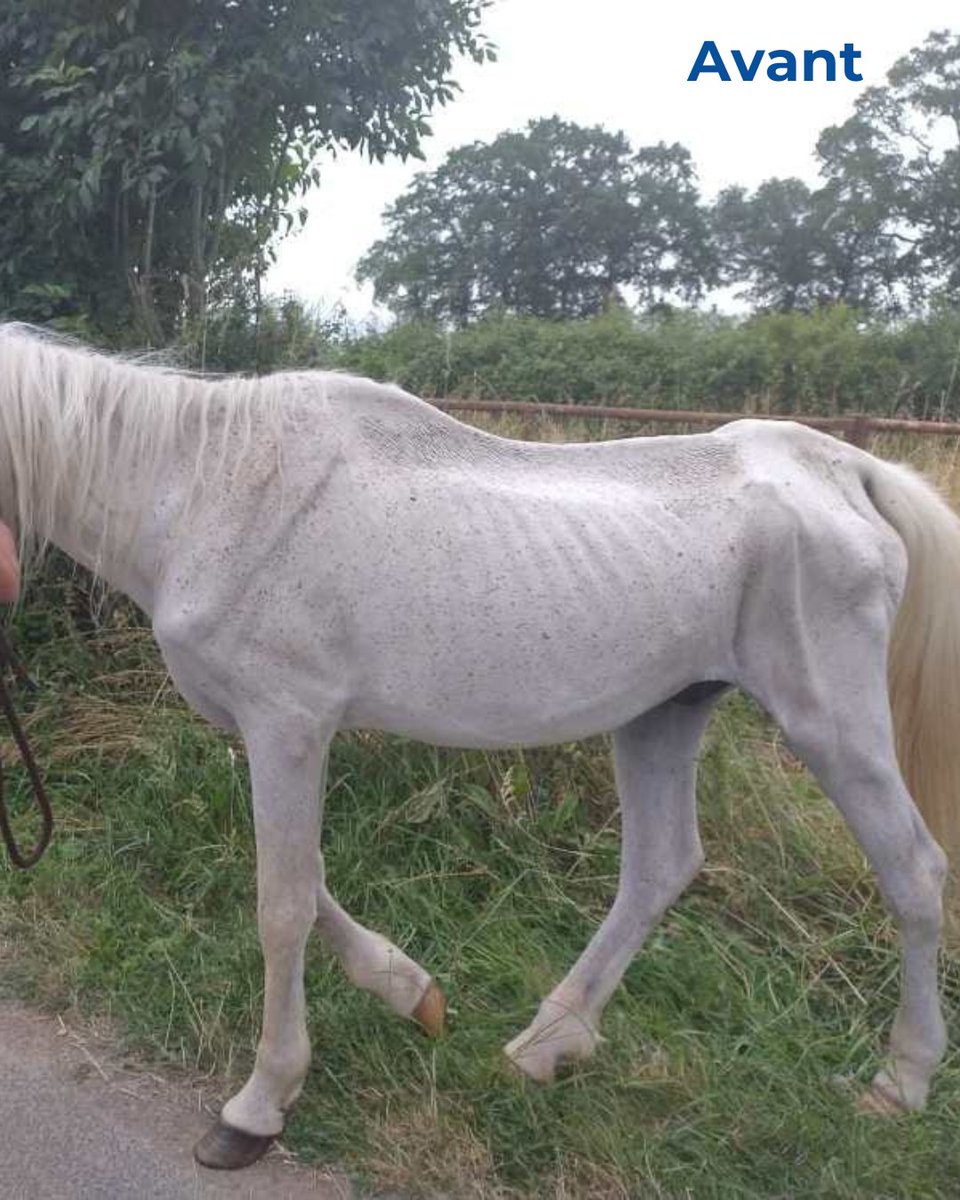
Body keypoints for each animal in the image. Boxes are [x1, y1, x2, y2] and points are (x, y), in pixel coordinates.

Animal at [0, 322, 957, 1169]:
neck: (208, 487)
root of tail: (846, 471)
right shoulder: (278, 734)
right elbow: (308, 881)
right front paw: (412, 994)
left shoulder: (288, 726)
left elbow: (282, 904)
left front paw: (259, 1106)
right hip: (665, 712)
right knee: (661, 866)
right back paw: (548, 1044)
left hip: (832, 723)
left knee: (912, 871)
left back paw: (900, 1082)